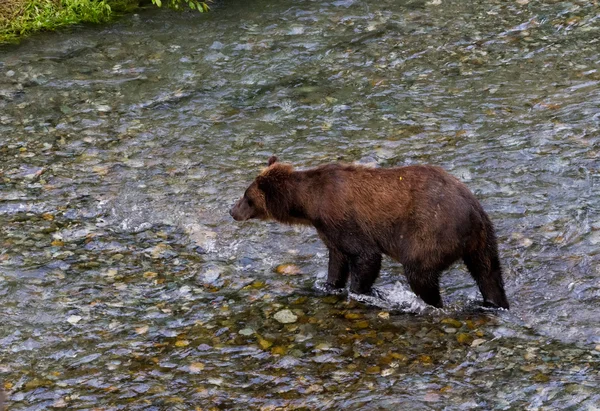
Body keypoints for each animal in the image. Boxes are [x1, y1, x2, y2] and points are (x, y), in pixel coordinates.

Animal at [229, 157, 506, 308]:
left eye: (246, 196)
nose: (232, 210)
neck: (310, 204)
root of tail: (472, 208)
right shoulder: (329, 230)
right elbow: (337, 259)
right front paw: (328, 285)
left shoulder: (342, 218)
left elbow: (365, 256)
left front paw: (359, 291)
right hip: (484, 238)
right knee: (488, 272)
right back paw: (496, 302)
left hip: (432, 232)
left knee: (420, 272)